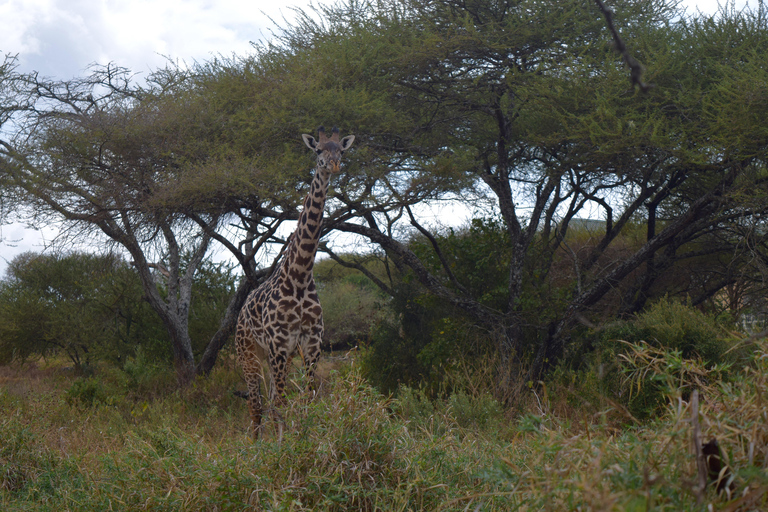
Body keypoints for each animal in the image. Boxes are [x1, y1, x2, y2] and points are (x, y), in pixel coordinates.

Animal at [236, 126, 356, 438]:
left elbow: (308, 399)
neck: (300, 276)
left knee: (268, 401)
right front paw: (287, 447)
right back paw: (254, 447)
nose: (333, 165)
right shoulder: (279, 342)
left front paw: (302, 442)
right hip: (249, 353)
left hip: (278, 355)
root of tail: (240, 312)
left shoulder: (310, 341)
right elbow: (281, 403)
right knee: (256, 405)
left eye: (341, 150)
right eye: (318, 150)